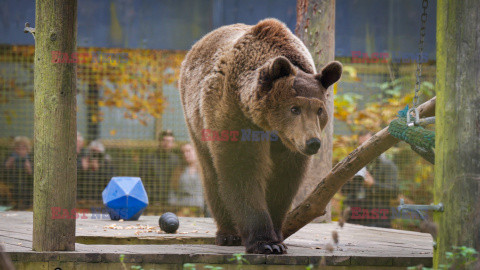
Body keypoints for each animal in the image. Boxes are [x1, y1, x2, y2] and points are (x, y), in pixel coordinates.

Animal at [179, 17, 342, 254]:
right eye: (294, 108)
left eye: (320, 110)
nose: (313, 142)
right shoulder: (233, 116)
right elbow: (242, 171)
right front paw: (265, 242)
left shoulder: (288, 145)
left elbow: (283, 181)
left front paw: (277, 236)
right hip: (196, 121)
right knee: (211, 174)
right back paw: (227, 234)